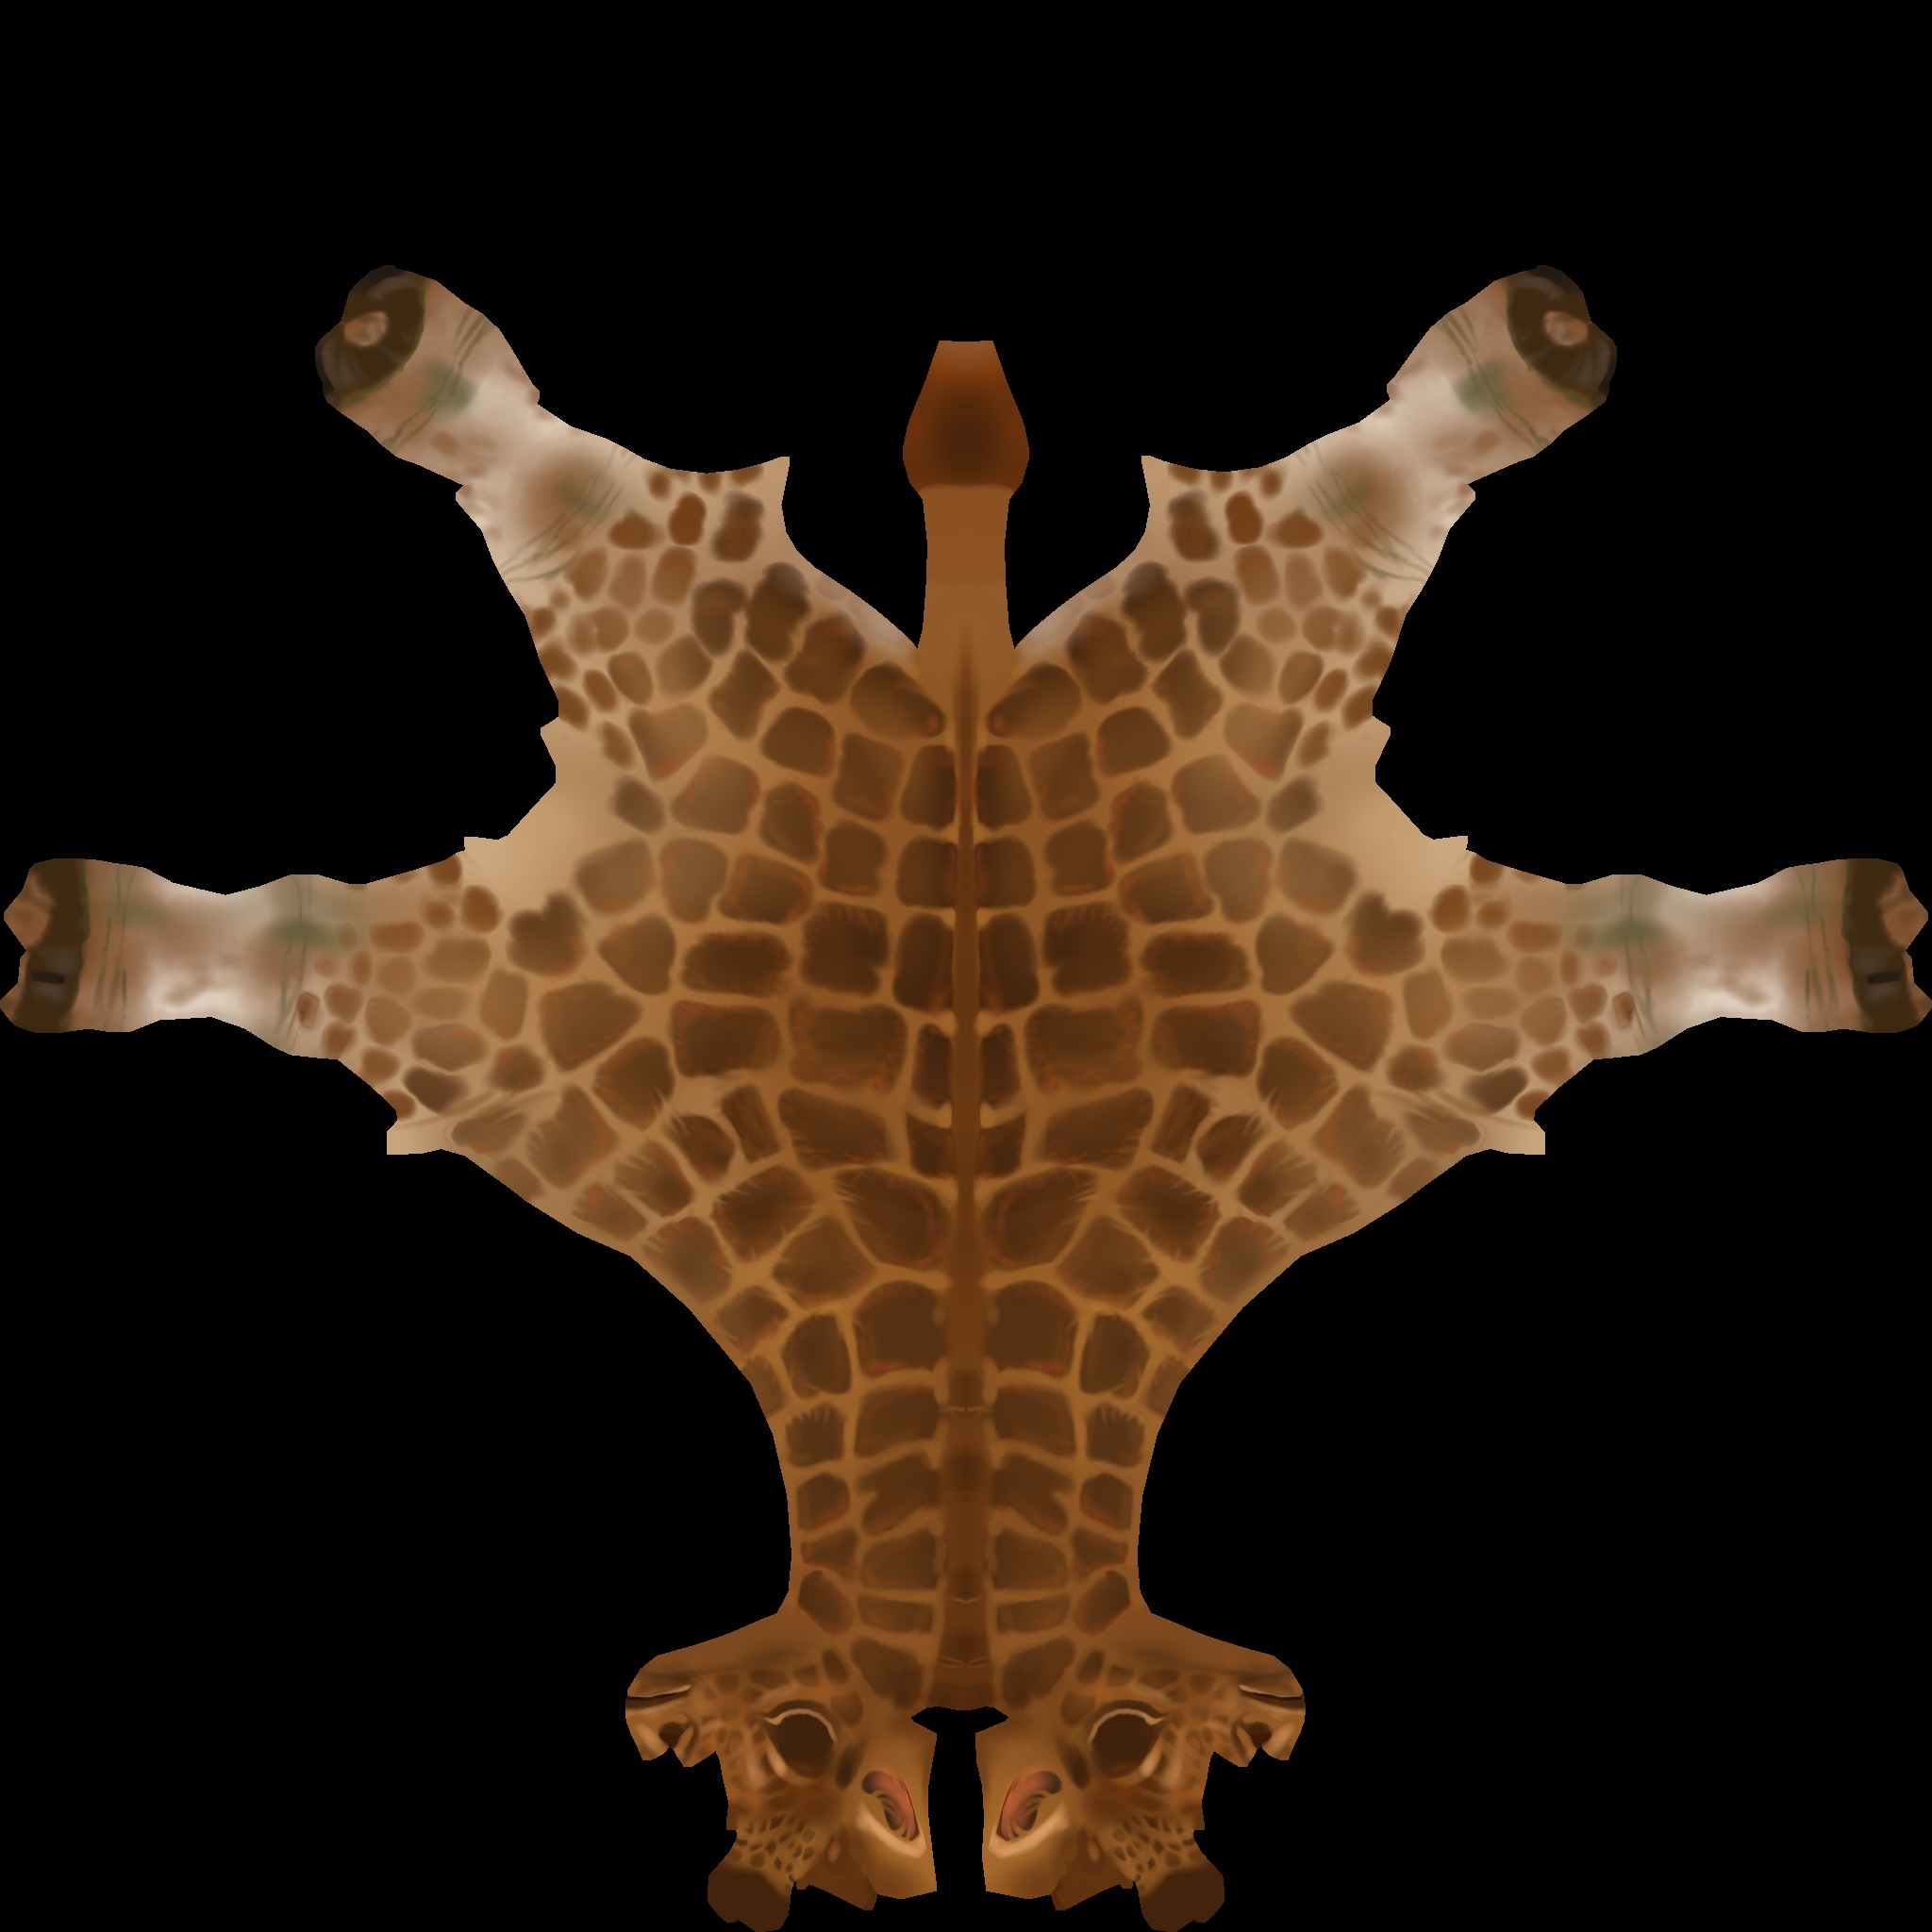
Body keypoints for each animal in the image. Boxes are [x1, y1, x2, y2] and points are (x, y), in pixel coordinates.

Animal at [3, 264, 1923, 1930]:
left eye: (1139, 1757)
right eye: (783, 1756)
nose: (994, 1849)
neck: (967, 1508)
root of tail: (963, 687)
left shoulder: (1470, 1017)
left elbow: (1636, 943)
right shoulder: (459, 1017)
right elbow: (293, 944)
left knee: (1377, 478)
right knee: (551, 480)